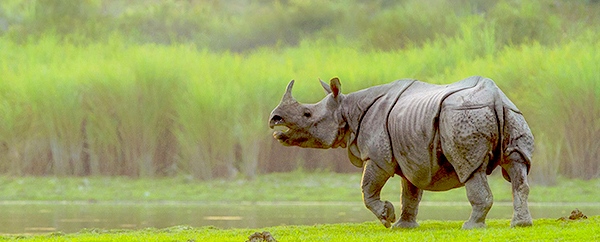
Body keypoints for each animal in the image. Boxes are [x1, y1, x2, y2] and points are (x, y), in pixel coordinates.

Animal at [268, 76, 536, 230]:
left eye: (307, 114)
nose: (274, 119)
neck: (347, 108)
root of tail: (496, 98)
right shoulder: (412, 155)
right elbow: (410, 192)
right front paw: (403, 226)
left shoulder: (377, 156)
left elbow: (367, 188)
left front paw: (386, 218)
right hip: (513, 114)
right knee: (517, 167)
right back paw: (520, 225)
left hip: (462, 115)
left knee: (469, 169)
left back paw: (470, 227)